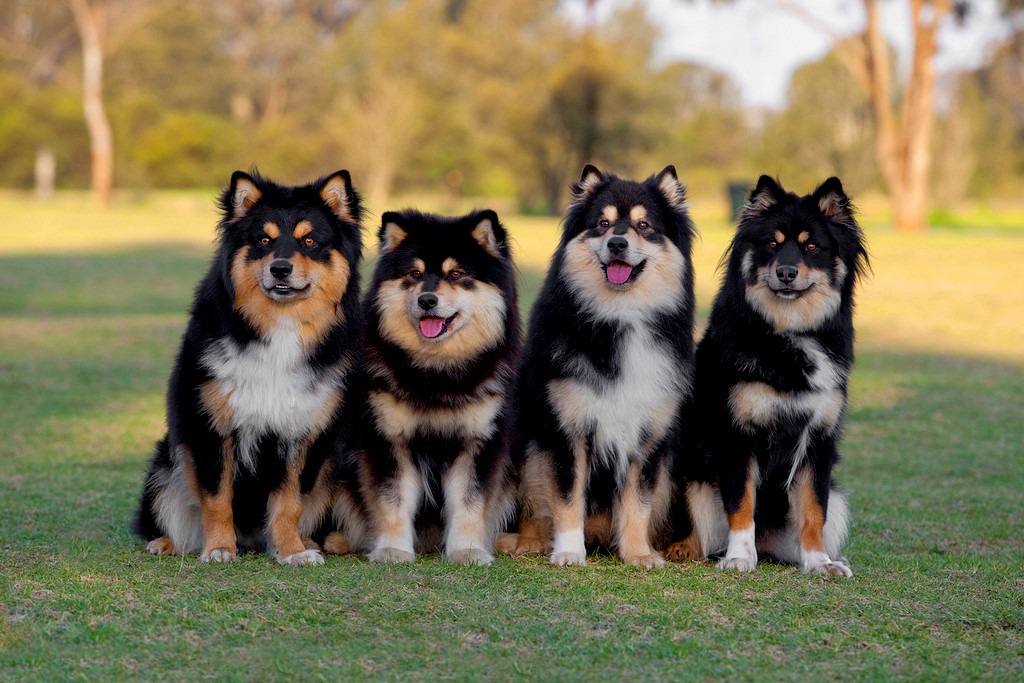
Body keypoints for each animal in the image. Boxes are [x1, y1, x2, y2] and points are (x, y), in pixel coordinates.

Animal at [132, 169, 364, 565]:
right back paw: (166, 543)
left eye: (310, 240)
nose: (280, 268)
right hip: (166, 465)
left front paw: (291, 552)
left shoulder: (302, 432)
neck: (280, 325)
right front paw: (219, 548)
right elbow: (216, 498)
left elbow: (289, 503)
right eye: (264, 240)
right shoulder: (212, 427)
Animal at [663, 174, 872, 573]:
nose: (785, 273)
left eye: (811, 246)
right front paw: (740, 558)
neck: (788, 333)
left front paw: (819, 562)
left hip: (839, 496)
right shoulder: (737, 437)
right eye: (772, 244)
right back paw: (682, 548)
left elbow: (813, 510)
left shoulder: (818, 444)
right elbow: (741, 505)